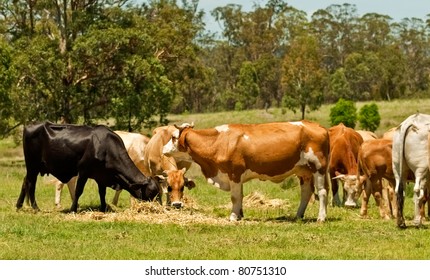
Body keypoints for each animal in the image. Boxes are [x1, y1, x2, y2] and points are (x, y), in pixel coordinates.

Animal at [15, 121, 162, 212]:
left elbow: (102, 193)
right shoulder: (83, 171)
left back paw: (19, 205)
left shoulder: (102, 176)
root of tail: (30, 125)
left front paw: (103, 208)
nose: (157, 207)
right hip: (32, 165)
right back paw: (35, 207)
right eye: (151, 192)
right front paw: (73, 209)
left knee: (25, 182)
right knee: (31, 184)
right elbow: (78, 191)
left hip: (33, 167)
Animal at [161, 121, 330, 222]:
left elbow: (235, 197)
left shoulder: (234, 173)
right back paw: (298, 216)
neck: (219, 141)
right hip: (304, 171)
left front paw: (233, 216)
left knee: (322, 192)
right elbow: (240, 196)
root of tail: (319, 126)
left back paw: (321, 217)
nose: (163, 149)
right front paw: (240, 215)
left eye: (174, 137)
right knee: (306, 192)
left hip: (318, 168)